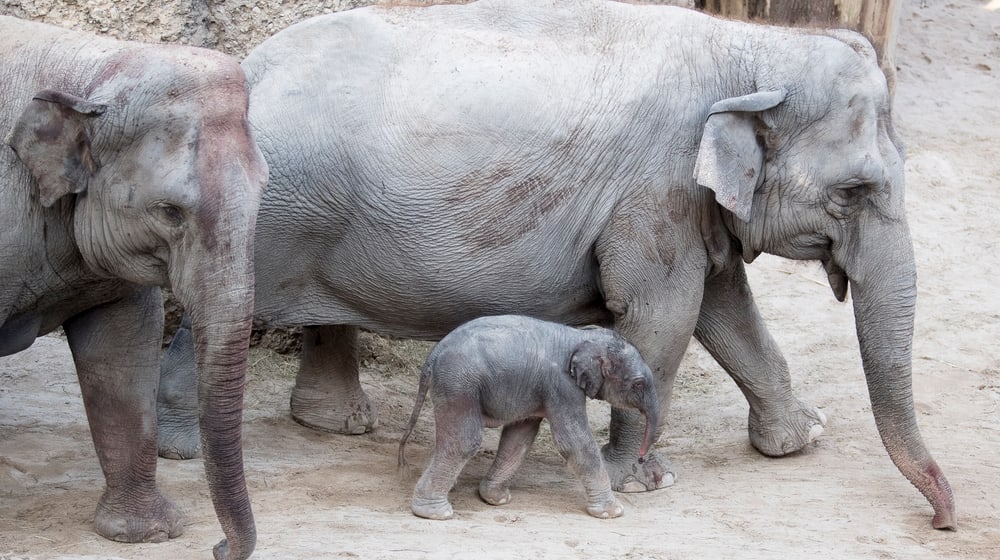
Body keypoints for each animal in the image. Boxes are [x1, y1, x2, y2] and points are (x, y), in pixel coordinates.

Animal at [0, 15, 266, 560]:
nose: (218, 547)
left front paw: (147, 533)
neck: (94, 71)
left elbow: (124, 348)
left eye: (263, 192)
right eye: (169, 211)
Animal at [397, 315, 660, 520]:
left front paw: (496, 499)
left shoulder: (538, 389)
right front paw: (613, 512)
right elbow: (574, 441)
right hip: (459, 384)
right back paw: (435, 512)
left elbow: (519, 436)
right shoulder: (562, 385)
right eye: (638, 384)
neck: (580, 336)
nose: (641, 456)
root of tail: (432, 356)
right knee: (464, 441)